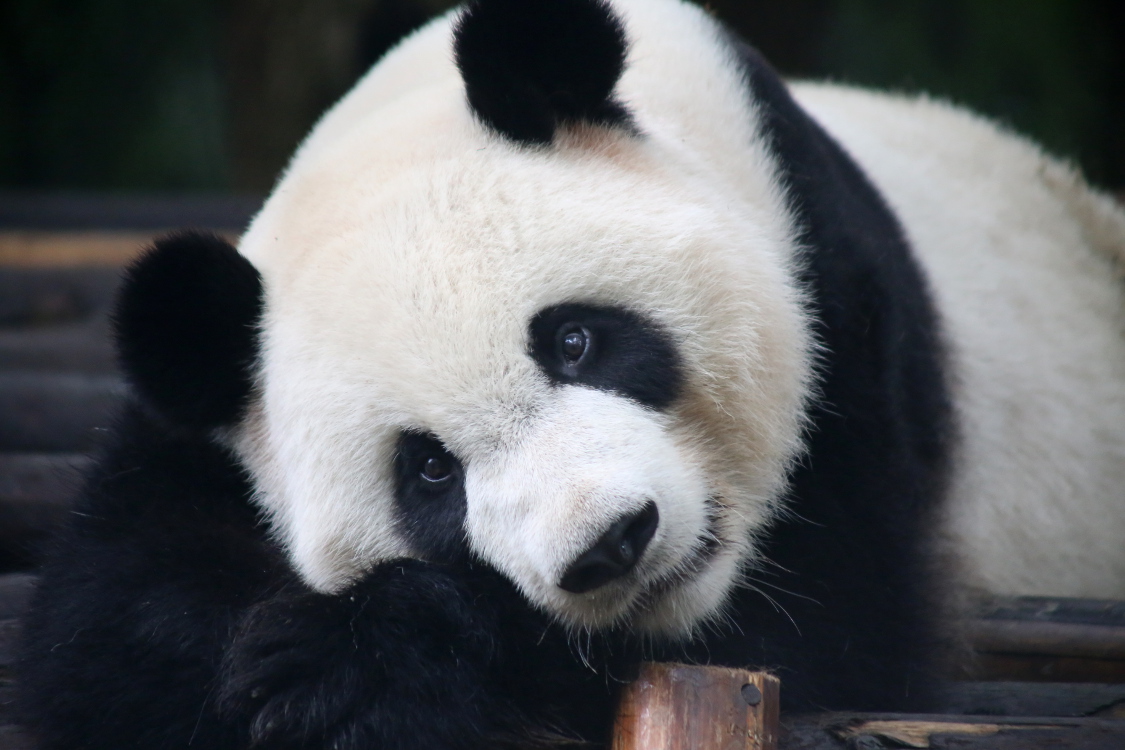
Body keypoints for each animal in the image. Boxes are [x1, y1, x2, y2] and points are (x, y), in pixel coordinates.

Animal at [18, 0, 1125, 747]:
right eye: (427, 471)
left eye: (575, 342)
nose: (612, 543)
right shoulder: (205, 407)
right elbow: (103, 635)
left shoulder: (840, 312)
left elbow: (838, 633)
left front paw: (362, 660)